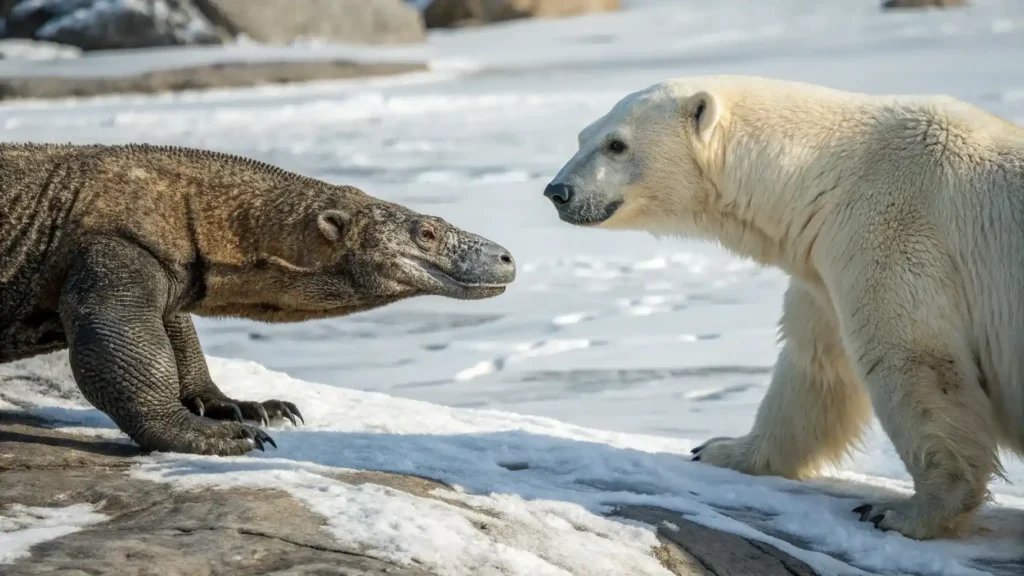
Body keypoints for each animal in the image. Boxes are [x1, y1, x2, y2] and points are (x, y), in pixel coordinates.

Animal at [541, 74, 1024, 540]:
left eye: (616, 144)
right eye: (583, 135)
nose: (557, 191)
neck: (829, 171)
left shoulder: (896, 234)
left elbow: (913, 360)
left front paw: (903, 513)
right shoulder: (823, 270)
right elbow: (813, 368)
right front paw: (722, 449)